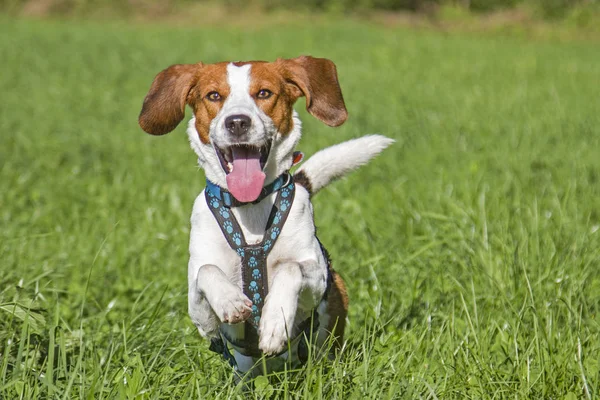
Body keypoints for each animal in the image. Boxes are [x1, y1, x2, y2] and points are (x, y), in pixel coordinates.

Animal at [138, 55, 392, 376]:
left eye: (264, 93)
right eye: (214, 96)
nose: (237, 122)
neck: (250, 208)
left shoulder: (316, 276)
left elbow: (290, 268)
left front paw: (275, 322)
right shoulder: (197, 300)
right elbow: (206, 274)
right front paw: (229, 301)